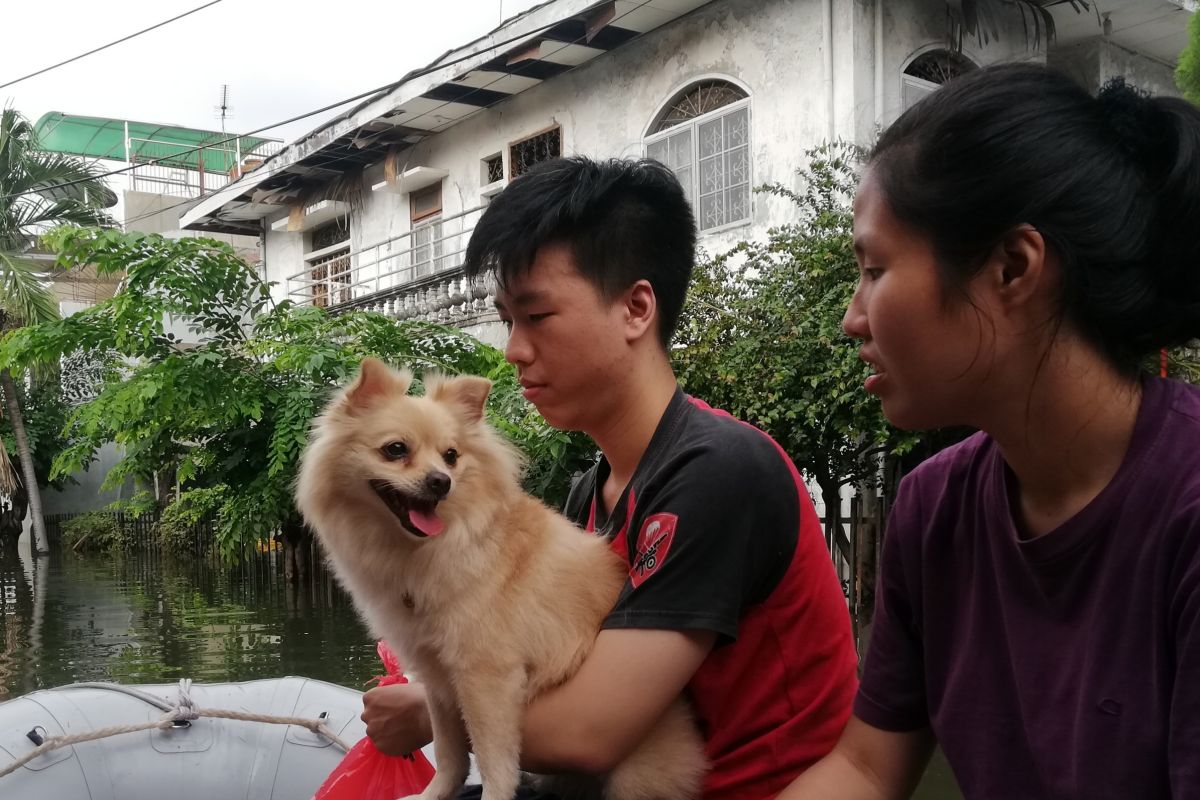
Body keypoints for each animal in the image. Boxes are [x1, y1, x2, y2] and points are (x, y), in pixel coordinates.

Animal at [296, 362, 705, 800]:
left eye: (451, 456)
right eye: (395, 450)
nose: (441, 480)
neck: (422, 550)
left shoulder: (487, 678)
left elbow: (494, 759)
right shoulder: (439, 676)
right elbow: (449, 751)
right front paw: (434, 793)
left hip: (635, 774)